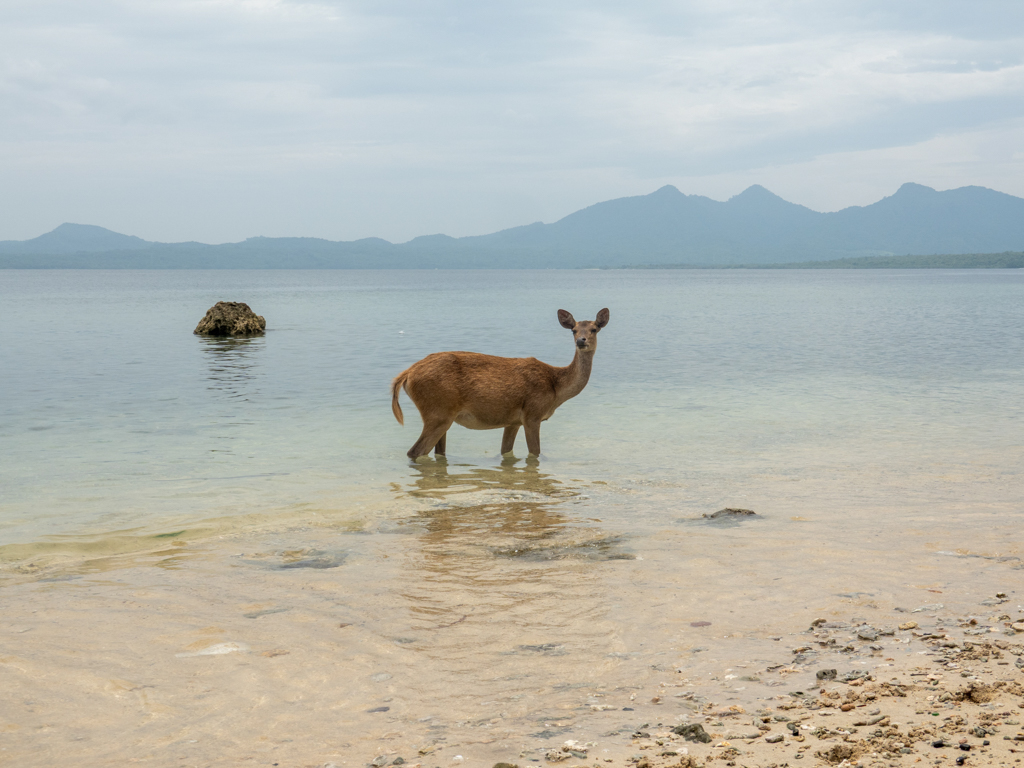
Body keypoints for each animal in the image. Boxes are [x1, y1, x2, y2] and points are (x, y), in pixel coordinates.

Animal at [393, 309, 610, 460]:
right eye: (573, 330)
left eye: (594, 329)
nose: (581, 341)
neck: (556, 389)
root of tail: (406, 375)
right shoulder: (532, 413)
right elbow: (535, 453)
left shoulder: (513, 421)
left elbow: (506, 452)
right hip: (438, 411)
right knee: (415, 451)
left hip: (442, 414)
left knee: (437, 452)